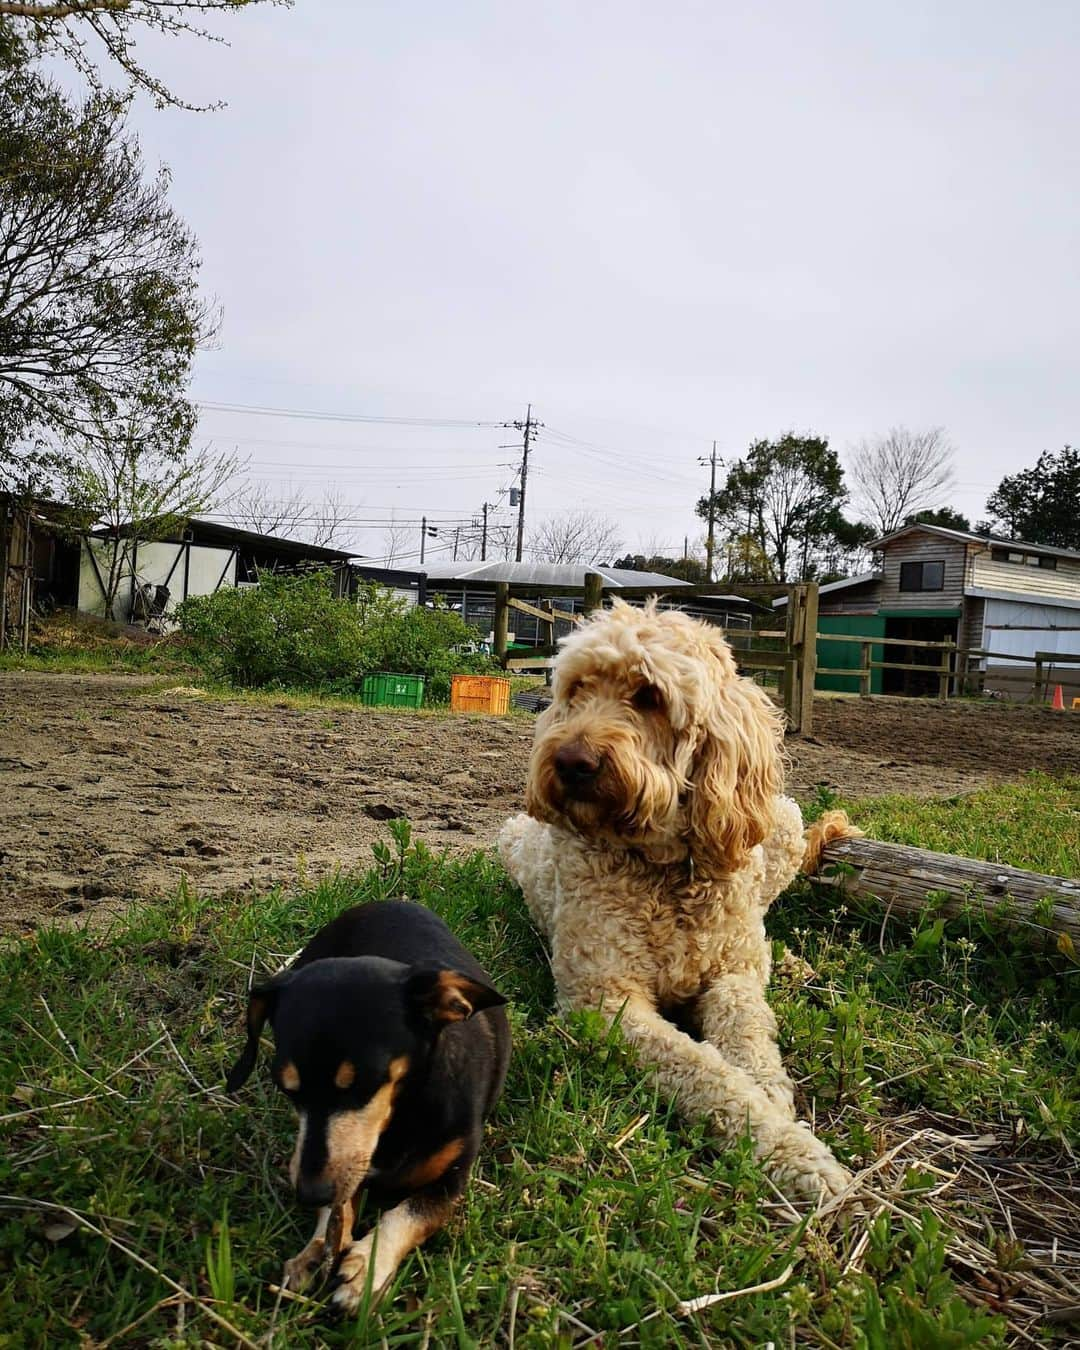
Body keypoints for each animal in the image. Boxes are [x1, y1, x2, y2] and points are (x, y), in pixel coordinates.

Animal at [224, 901, 510, 1312]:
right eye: (287, 1089)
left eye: (363, 1083)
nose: (309, 1193)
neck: (402, 1117)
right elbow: (341, 1206)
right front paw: (315, 1251)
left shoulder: (451, 1181)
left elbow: (405, 1214)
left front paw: (366, 1270)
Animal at [499, 602, 858, 1204]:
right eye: (576, 689)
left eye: (649, 695)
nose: (569, 761)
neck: (667, 873)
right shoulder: (606, 1003)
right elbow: (707, 1071)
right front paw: (791, 1149)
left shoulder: (733, 973)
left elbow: (747, 1030)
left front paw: (773, 1096)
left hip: (781, 822)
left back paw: (793, 963)